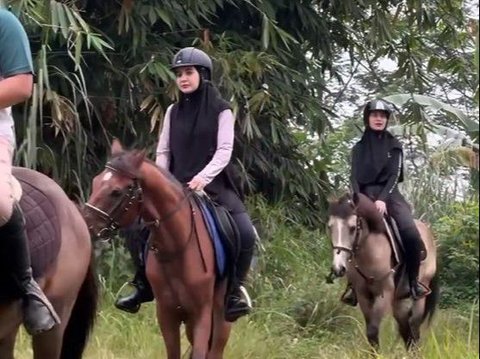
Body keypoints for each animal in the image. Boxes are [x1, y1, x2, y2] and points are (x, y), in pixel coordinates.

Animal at [84, 141, 234, 359]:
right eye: (95, 182)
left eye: (116, 192)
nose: (85, 223)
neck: (178, 248)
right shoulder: (166, 315)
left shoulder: (201, 315)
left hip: (221, 319)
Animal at [326, 193, 438, 352]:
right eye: (330, 227)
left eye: (353, 228)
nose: (338, 268)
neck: (369, 250)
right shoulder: (363, 294)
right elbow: (370, 332)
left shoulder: (384, 293)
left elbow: (373, 329)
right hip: (399, 299)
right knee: (405, 328)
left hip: (419, 296)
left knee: (414, 327)